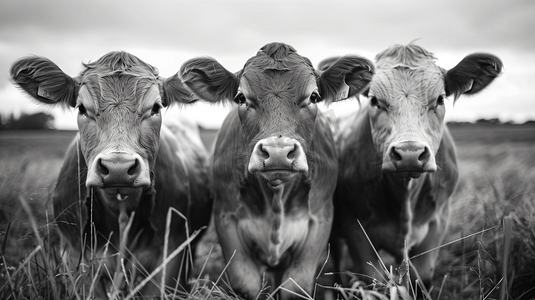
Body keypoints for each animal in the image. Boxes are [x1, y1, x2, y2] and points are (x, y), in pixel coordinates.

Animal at [178, 42, 374, 300]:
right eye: (241, 97)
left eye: (314, 96)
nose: (278, 151)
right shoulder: (226, 218)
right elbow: (246, 284)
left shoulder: (320, 219)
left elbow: (294, 287)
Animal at [320, 43, 504, 290]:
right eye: (374, 101)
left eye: (440, 99)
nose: (409, 153)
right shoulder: (355, 230)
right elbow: (373, 280)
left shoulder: (438, 223)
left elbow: (421, 278)